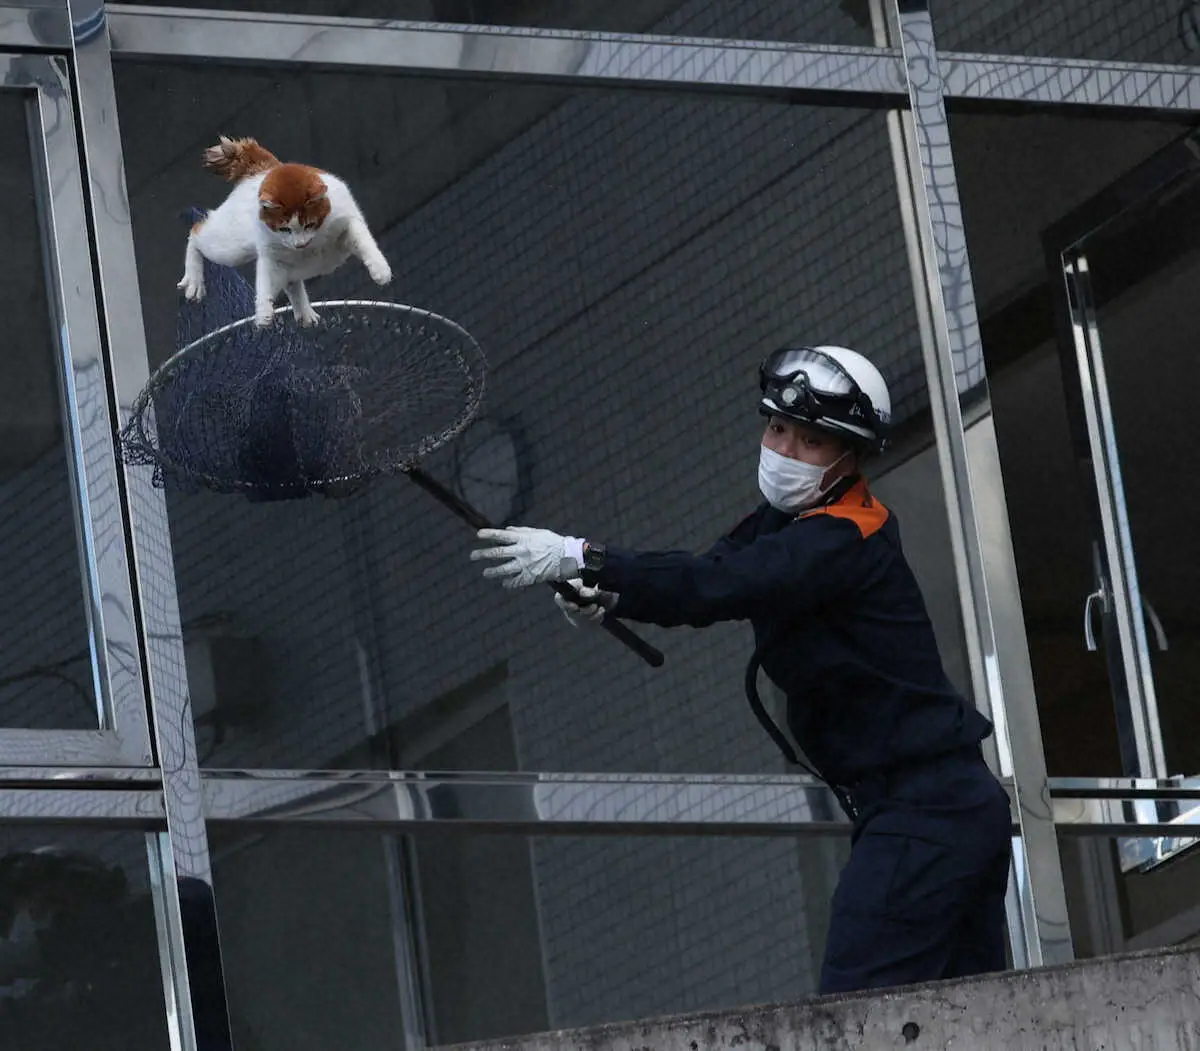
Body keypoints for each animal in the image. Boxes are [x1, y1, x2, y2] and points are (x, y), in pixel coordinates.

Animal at [175, 135, 391, 326]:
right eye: (284, 229)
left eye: (310, 224)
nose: (299, 244)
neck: (312, 243)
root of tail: (266, 167)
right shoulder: (271, 258)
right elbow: (264, 284)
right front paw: (263, 313)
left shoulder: (347, 221)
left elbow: (363, 240)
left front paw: (380, 271)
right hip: (231, 248)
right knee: (196, 231)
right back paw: (194, 281)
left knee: (292, 283)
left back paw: (305, 314)